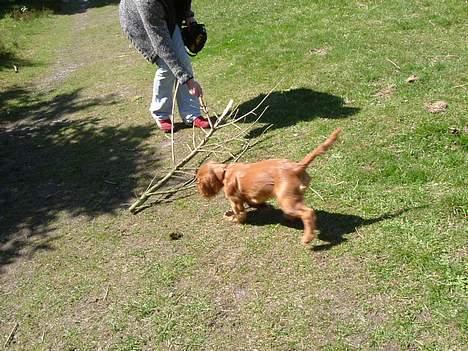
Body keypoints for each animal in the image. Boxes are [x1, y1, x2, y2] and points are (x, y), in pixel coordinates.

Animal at [196, 129, 342, 245]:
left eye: (198, 181)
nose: (201, 193)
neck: (226, 171)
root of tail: (297, 166)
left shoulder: (234, 199)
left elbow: (240, 213)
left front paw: (233, 219)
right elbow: (253, 201)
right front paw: (262, 207)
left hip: (287, 200)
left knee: (308, 212)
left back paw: (307, 237)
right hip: (294, 197)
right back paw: (289, 218)